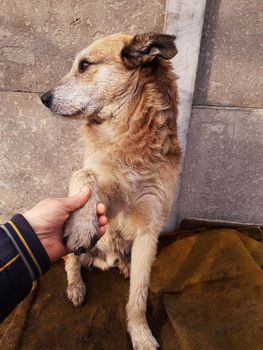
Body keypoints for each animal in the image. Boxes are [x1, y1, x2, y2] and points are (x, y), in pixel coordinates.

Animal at [41, 33, 180, 350]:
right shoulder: (104, 193)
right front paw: (82, 225)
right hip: (77, 251)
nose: (44, 97)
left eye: (85, 65)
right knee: (71, 261)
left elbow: (138, 296)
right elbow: (84, 175)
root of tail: (103, 259)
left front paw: (141, 335)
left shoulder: (149, 227)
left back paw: (124, 265)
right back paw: (76, 286)